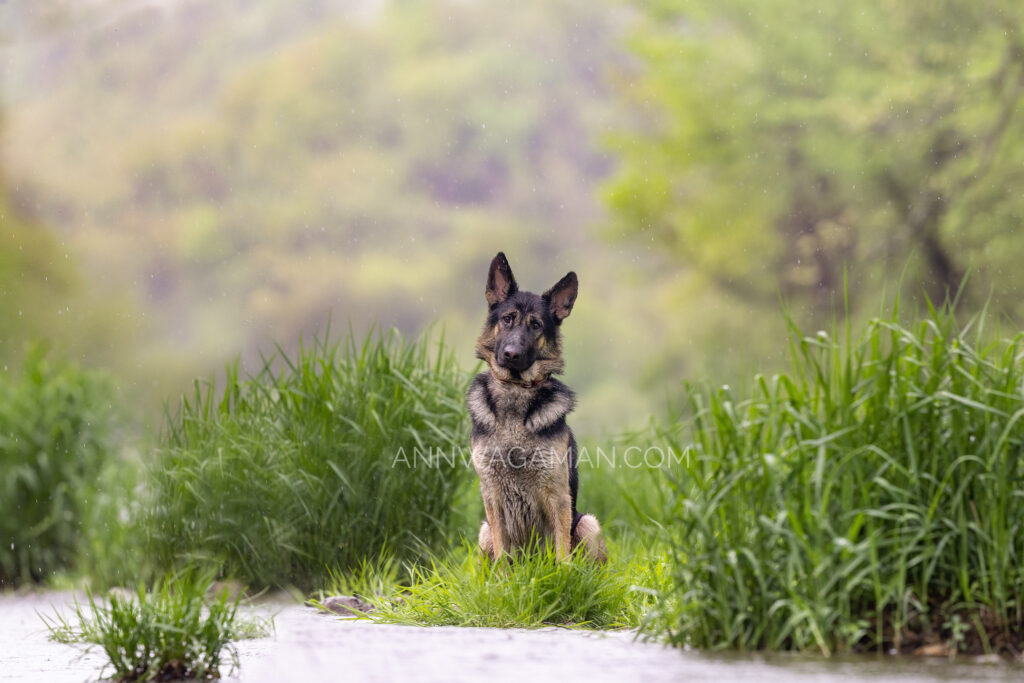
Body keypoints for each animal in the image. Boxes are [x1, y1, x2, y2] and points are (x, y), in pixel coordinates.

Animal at [466, 253, 602, 565]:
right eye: (507, 319)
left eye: (536, 325)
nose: (511, 354)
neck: (516, 392)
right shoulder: (492, 496)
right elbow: (503, 553)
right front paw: (504, 577)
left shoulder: (557, 495)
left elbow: (562, 553)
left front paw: (563, 574)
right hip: (483, 531)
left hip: (588, 523)